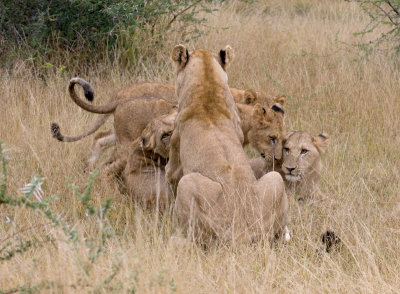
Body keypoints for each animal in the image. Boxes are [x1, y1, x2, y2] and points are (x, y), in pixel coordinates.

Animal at [164, 44, 290, 245]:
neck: (207, 88)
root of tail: (240, 232)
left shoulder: (175, 156)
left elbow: (170, 176)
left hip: (188, 184)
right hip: (275, 179)